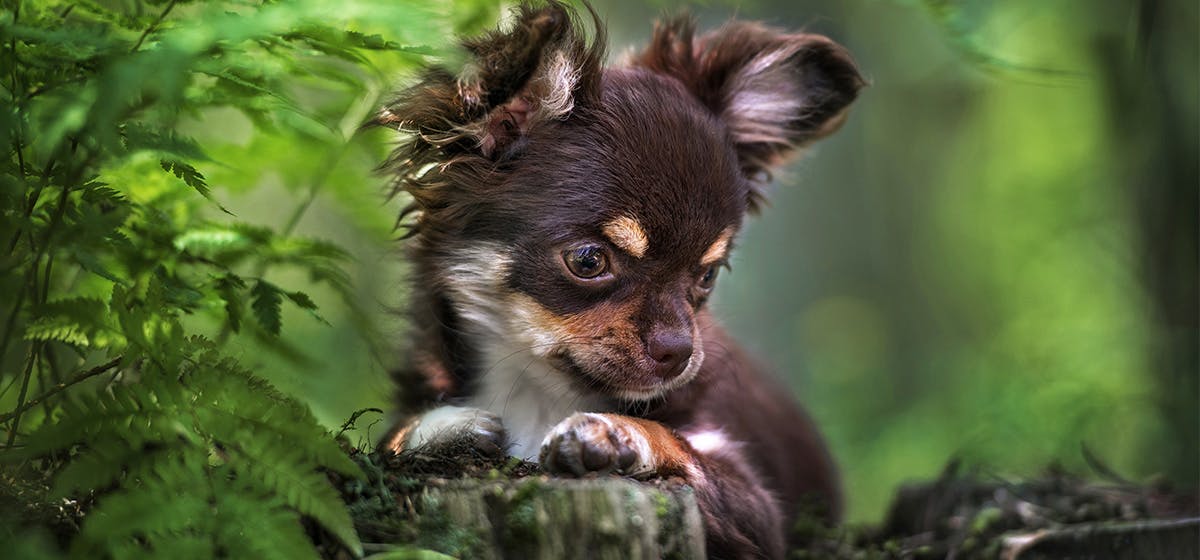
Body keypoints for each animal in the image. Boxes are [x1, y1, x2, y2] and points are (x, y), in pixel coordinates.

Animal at [379, 3, 859, 556]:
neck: (537, 395)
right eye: (589, 261)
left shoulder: (759, 510)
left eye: (707, 275)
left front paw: (618, 433)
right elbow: (388, 441)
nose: (679, 352)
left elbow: (683, 446)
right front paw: (438, 428)